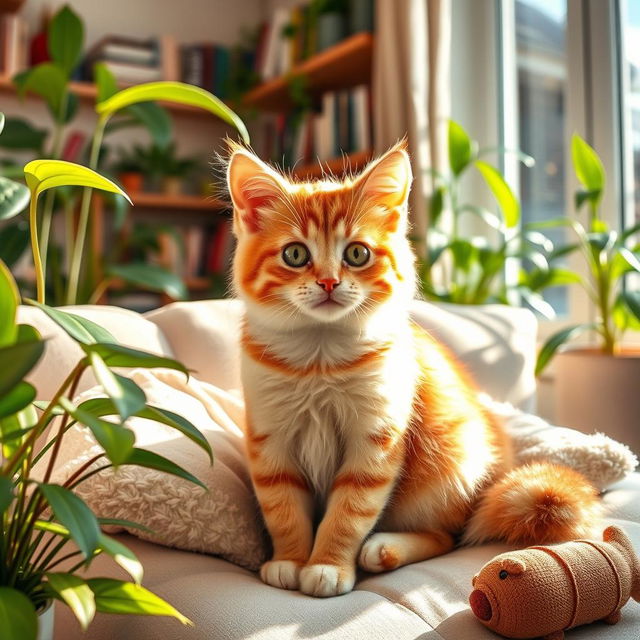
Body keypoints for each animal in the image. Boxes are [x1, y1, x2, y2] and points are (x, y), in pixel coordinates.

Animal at [226, 142, 600, 596]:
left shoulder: (376, 440)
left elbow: (348, 513)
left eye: (356, 253)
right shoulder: (270, 439)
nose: (329, 283)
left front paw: (327, 565)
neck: (319, 360)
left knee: (447, 537)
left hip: (449, 467)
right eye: (295, 254)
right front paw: (290, 560)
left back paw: (383, 548)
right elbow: (283, 509)